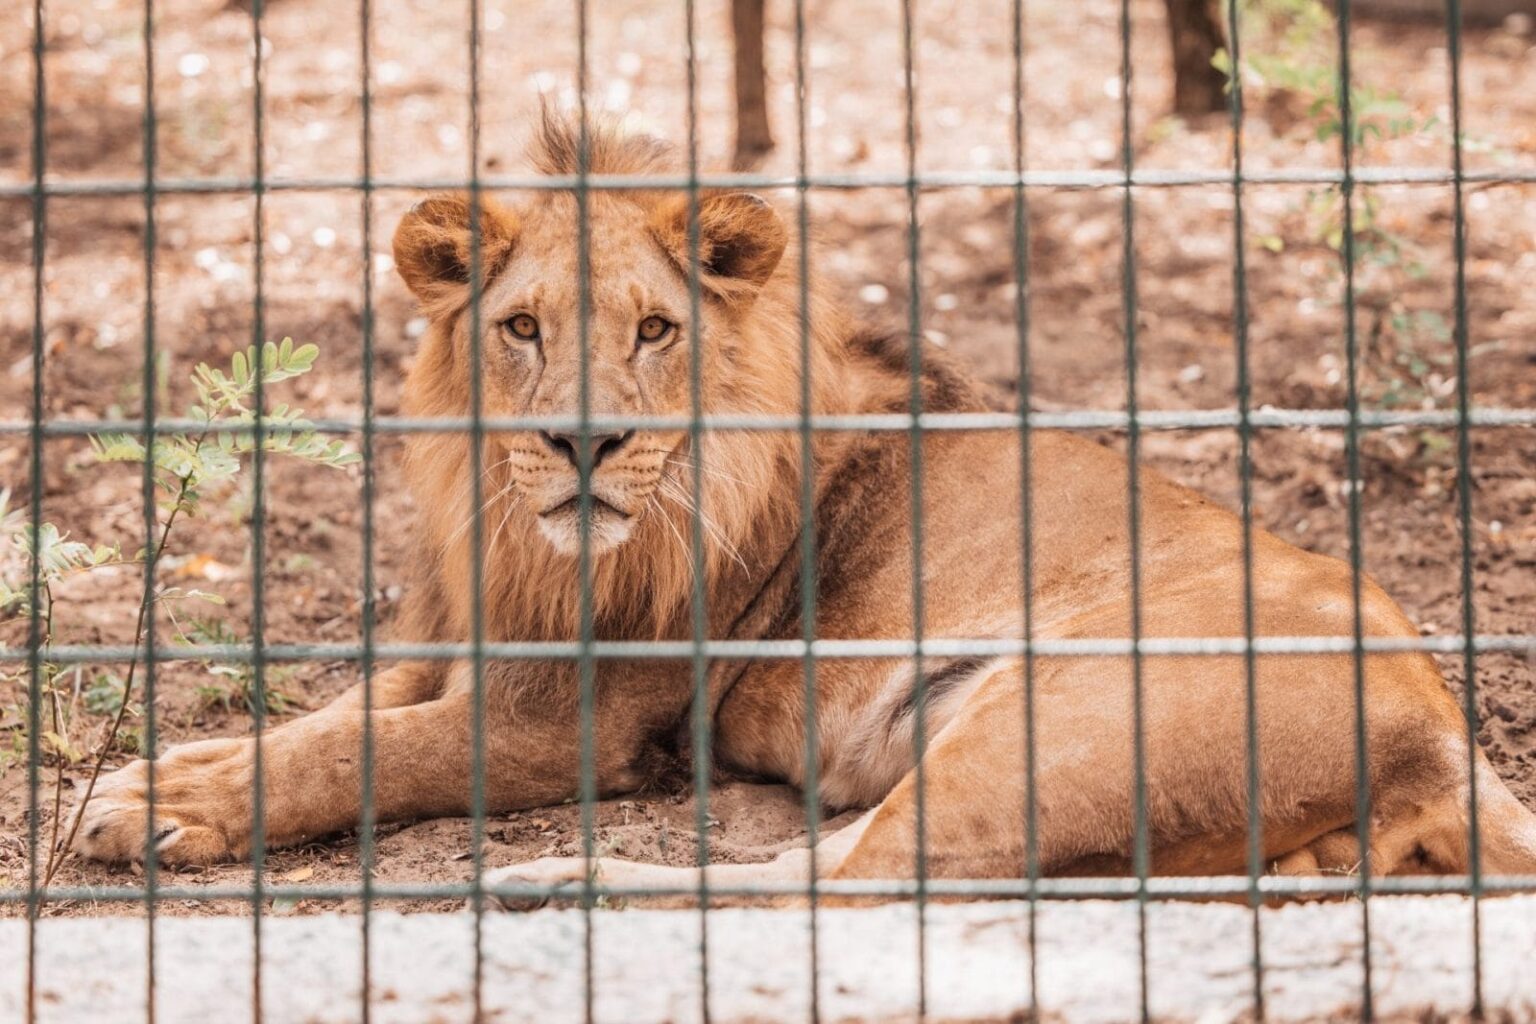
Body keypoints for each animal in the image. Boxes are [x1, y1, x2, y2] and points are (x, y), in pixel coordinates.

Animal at [72, 116, 1536, 901]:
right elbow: (331, 720)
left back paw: (557, 886)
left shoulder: (572, 715)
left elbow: (375, 753)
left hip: (1056, 713)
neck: (512, 530)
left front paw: (159, 804)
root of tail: (1442, 724)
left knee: (854, 884)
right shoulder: (462, 643)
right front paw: (167, 778)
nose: (586, 442)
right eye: (523, 327)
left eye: (655, 329)